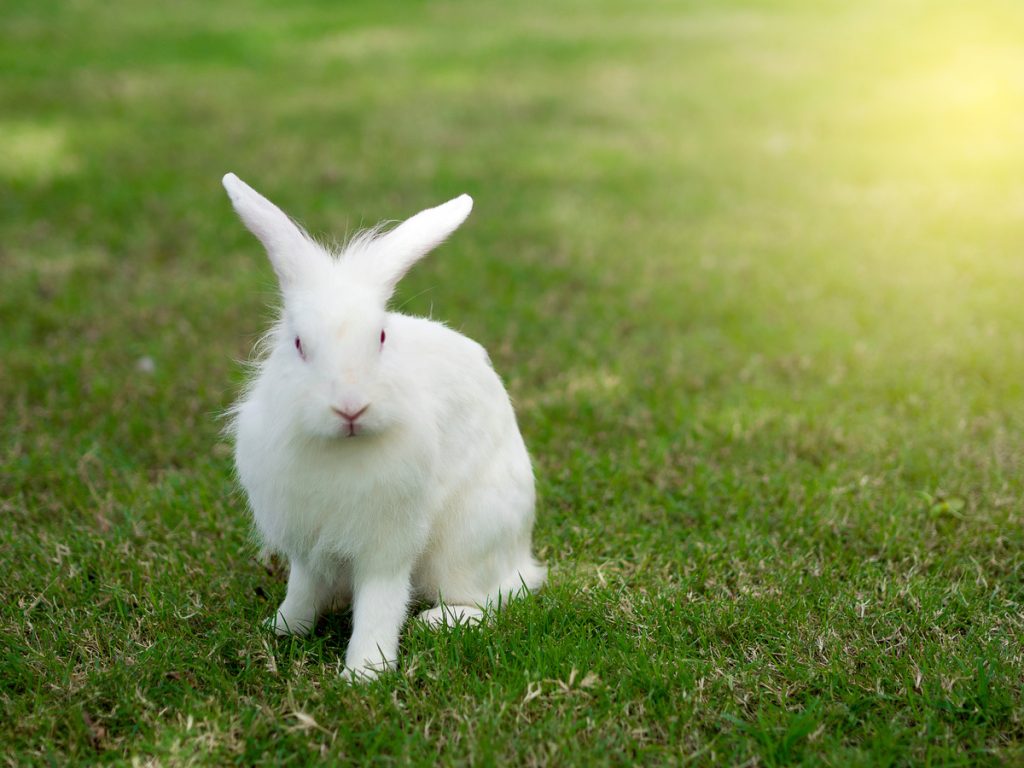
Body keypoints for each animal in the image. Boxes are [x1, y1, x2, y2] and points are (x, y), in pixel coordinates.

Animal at [222, 173, 546, 681]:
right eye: (298, 344)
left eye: (380, 337)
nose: (350, 408)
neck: (341, 448)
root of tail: (523, 559)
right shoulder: (308, 544)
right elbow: (302, 589)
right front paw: (283, 628)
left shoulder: (387, 543)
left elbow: (380, 603)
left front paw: (365, 673)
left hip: (466, 545)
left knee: (491, 601)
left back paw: (438, 621)